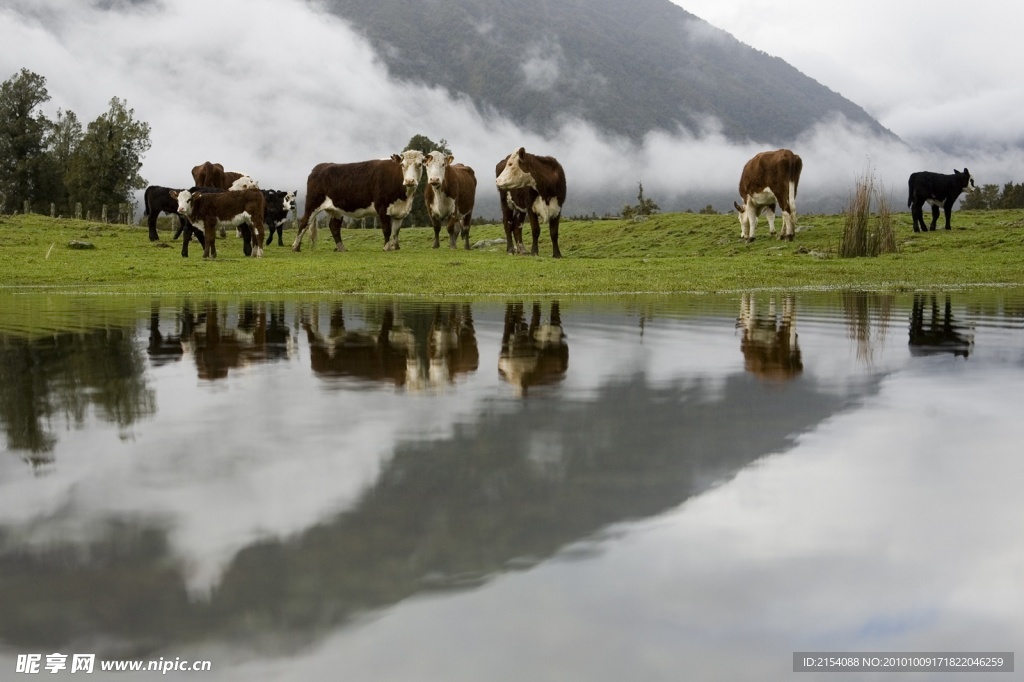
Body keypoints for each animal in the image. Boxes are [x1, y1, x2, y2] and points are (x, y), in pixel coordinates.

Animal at [290, 150, 425, 250]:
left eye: (419, 164)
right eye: (402, 165)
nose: (409, 181)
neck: (405, 198)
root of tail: (320, 166)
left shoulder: (399, 212)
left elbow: (396, 231)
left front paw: (395, 247)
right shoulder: (382, 207)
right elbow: (387, 229)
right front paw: (386, 247)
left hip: (336, 209)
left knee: (334, 226)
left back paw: (341, 248)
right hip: (312, 203)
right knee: (304, 222)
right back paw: (295, 247)